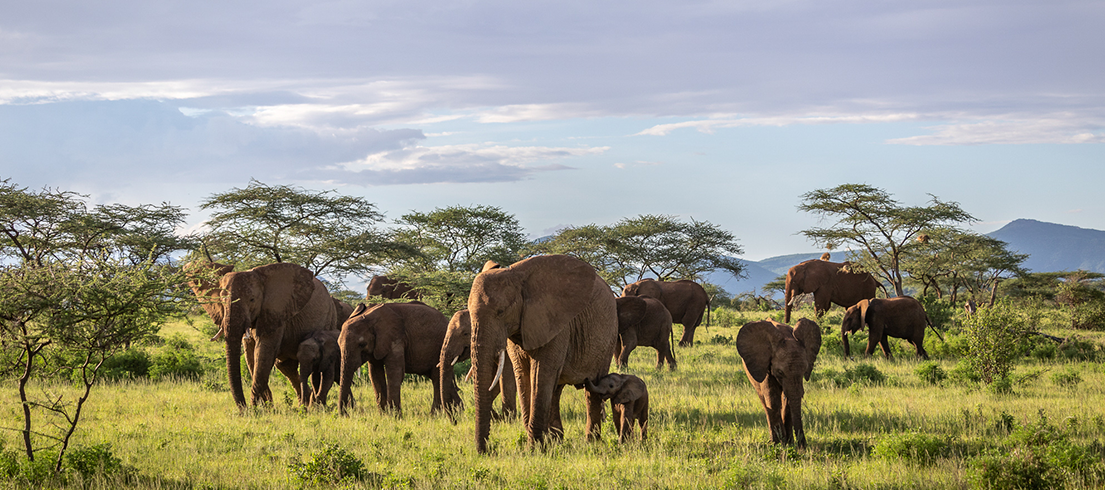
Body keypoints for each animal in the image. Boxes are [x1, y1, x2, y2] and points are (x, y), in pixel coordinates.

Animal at [205, 262, 338, 408]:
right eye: (221, 301)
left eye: (252, 299)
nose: (244, 409)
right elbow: (250, 354)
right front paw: (265, 408)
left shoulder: (275, 311)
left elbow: (263, 352)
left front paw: (256, 409)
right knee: (285, 365)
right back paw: (304, 404)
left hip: (330, 317)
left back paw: (313, 406)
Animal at [469, 254, 618, 454]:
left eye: (501, 312)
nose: (487, 451)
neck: (517, 277)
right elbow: (522, 375)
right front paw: (539, 446)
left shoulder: (556, 324)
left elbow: (541, 374)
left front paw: (533, 450)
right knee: (556, 389)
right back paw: (557, 441)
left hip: (608, 337)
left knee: (592, 387)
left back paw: (591, 441)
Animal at [735, 318, 822, 448]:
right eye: (780, 372)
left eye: (804, 370)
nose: (803, 446)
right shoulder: (766, 365)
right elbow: (772, 397)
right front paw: (780, 444)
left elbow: (789, 401)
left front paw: (788, 443)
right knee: (764, 401)